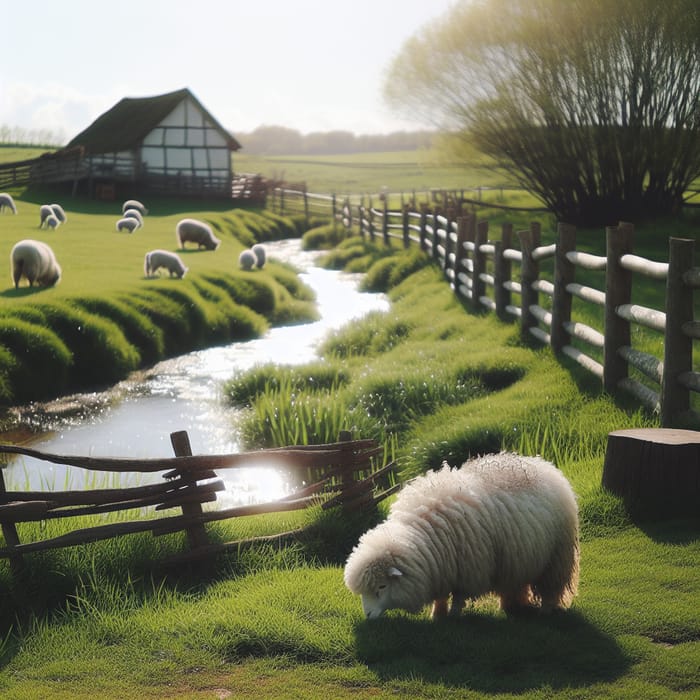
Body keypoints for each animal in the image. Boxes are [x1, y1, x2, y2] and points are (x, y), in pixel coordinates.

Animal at [344, 454, 580, 616]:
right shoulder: (440, 567)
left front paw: (454, 616)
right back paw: (510, 606)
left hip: (557, 556)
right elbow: (440, 595)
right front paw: (437, 615)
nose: (368, 615)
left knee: (551, 587)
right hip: (519, 556)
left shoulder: (468, 569)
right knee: (515, 582)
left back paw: (545, 611)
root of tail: (544, 465)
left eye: (382, 586)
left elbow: (458, 596)